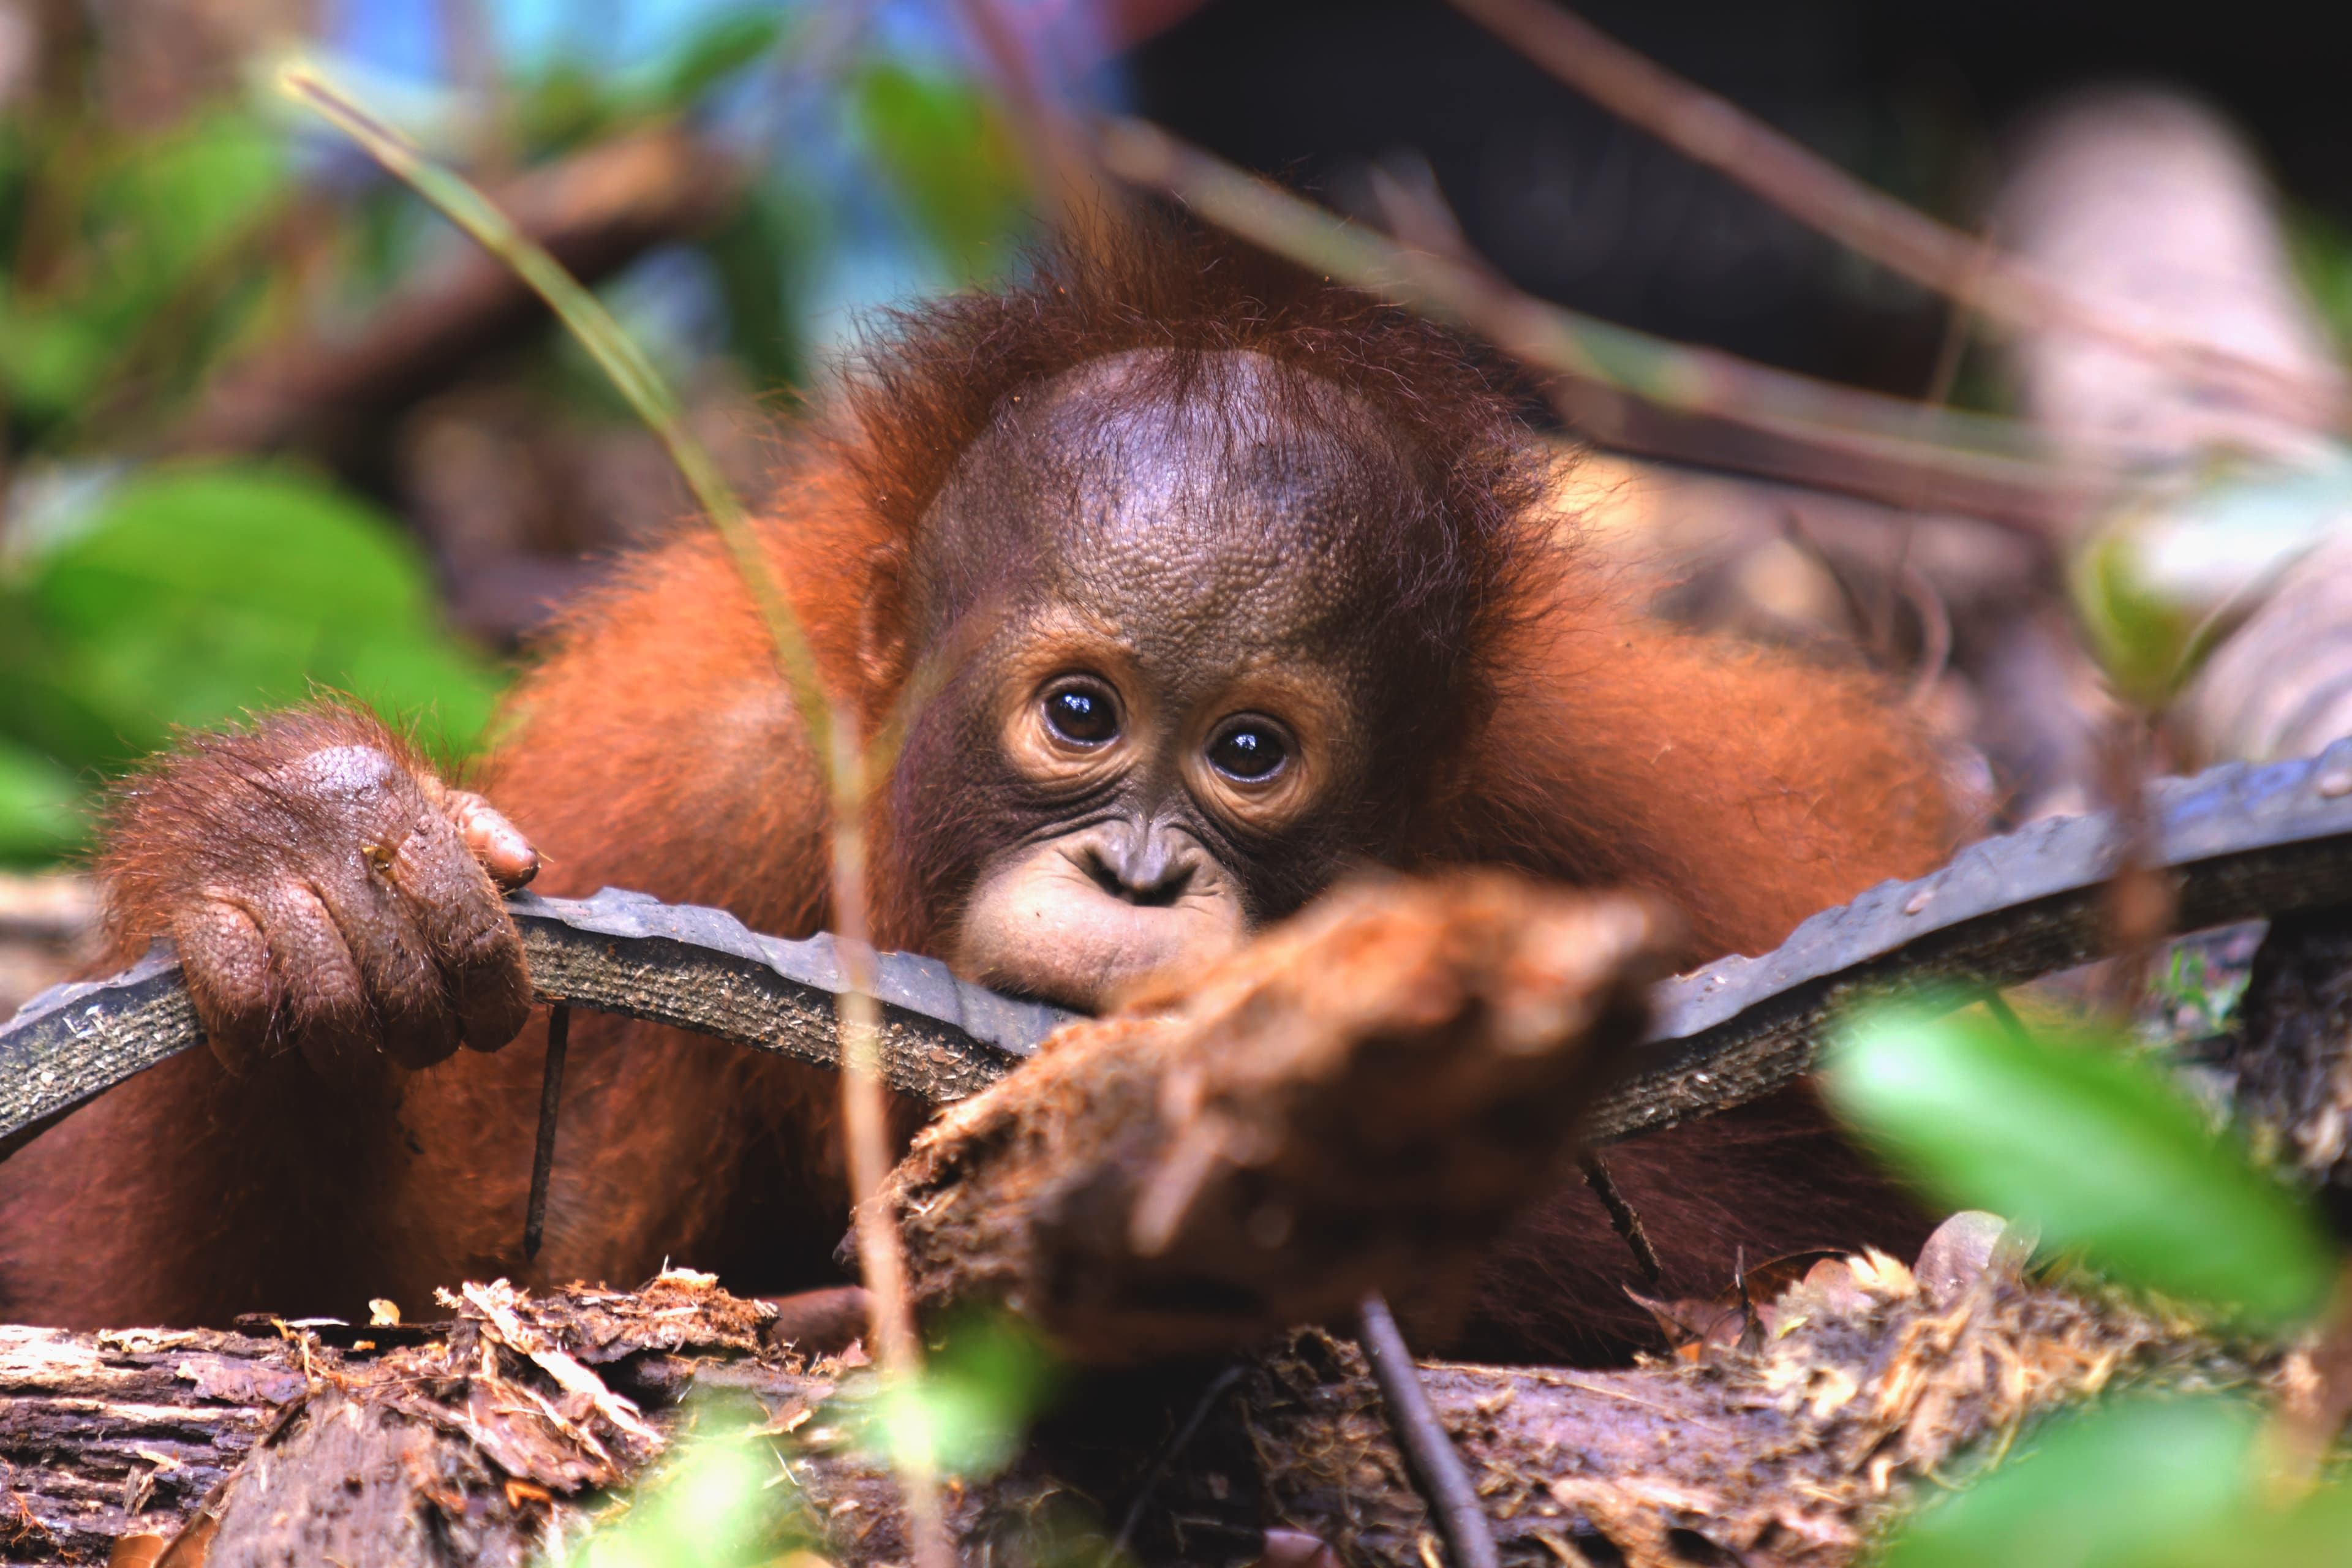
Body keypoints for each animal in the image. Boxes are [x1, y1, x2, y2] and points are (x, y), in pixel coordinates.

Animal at [0, 226, 1961, 1360]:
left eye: (1250, 752)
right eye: (1080, 713)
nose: (1142, 878)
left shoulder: (1638, 821)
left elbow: (1828, 1237)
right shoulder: (698, 803)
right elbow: (414, 1294)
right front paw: (303, 876)